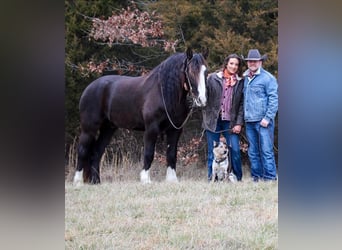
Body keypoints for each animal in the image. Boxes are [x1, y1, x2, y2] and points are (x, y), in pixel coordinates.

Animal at [73, 47, 208, 185]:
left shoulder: (174, 130)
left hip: (108, 129)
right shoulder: (151, 128)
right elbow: (149, 153)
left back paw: (96, 181)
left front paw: (172, 180)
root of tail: (89, 88)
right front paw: (145, 179)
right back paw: (77, 182)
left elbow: (171, 154)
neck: (162, 92)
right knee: (82, 151)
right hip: (89, 129)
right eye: (191, 71)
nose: (202, 99)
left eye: (205, 72)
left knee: (96, 152)